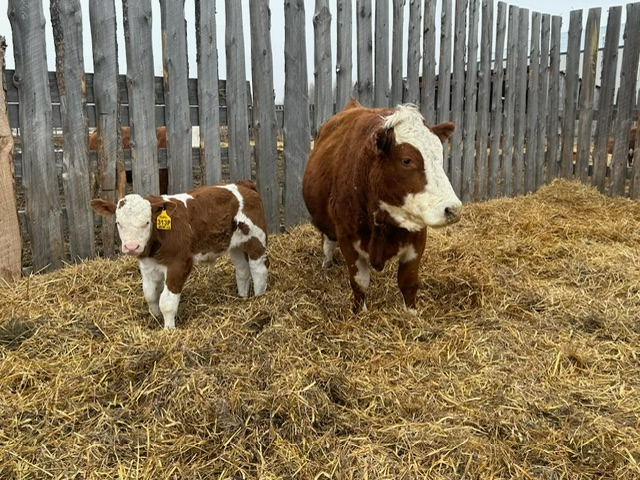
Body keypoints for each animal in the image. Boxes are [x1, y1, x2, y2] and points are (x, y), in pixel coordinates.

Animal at [90, 180, 268, 329]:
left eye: (147, 222)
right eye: (118, 223)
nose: (132, 247)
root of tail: (243, 184)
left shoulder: (179, 263)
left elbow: (167, 302)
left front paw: (169, 330)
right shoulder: (147, 266)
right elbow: (150, 295)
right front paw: (155, 319)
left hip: (257, 239)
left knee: (259, 270)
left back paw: (259, 299)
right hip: (236, 245)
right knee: (242, 270)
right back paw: (242, 298)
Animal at [302, 98, 462, 312]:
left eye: (439, 155)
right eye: (406, 160)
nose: (453, 209)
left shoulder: (418, 236)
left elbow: (408, 282)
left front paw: (411, 314)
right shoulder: (346, 238)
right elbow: (360, 282)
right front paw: (360, 313)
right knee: (328, 241)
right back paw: (326, 263)